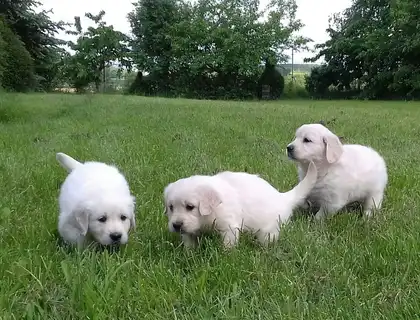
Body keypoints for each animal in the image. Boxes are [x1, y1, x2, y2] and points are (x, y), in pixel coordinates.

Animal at [162, 162, 316, 250]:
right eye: (171, 207)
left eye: (190, 206)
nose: (176, 225)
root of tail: (283, 197)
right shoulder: (189, 231)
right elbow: (189, 242)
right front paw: (189, 254)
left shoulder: (229, 226)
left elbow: (228, 244)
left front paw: (226, 256)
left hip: (269, 229)